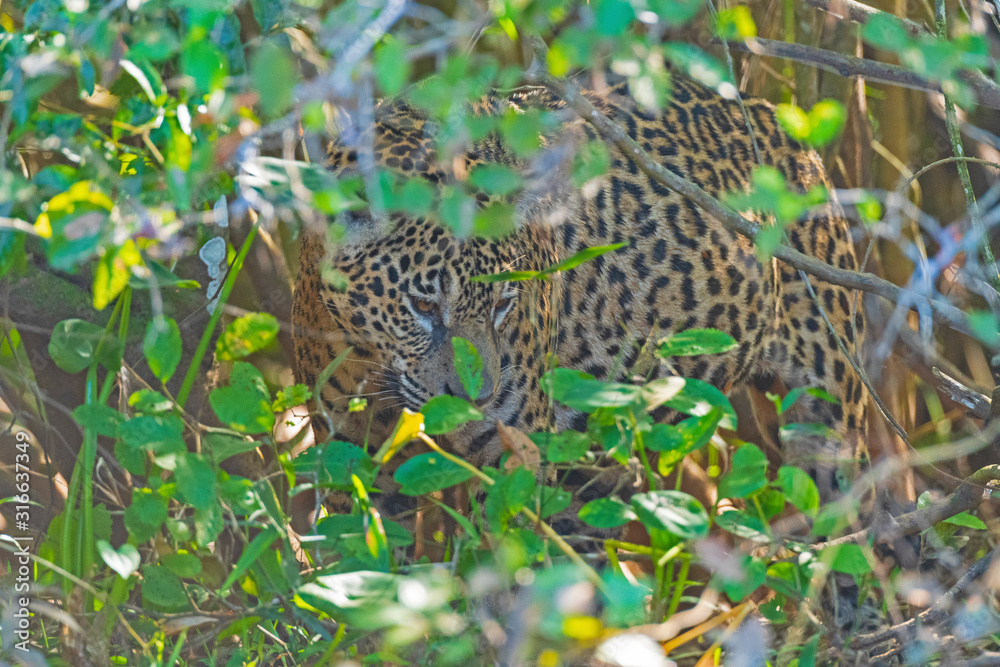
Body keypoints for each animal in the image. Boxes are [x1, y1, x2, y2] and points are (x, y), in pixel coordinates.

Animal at [291, 75, 869, 553]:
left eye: (503, 304)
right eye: (424, 306)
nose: (474, 403)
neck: (372, 356)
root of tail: (776, 115)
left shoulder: (514, 451)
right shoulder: (348, 452)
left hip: (831, 406)